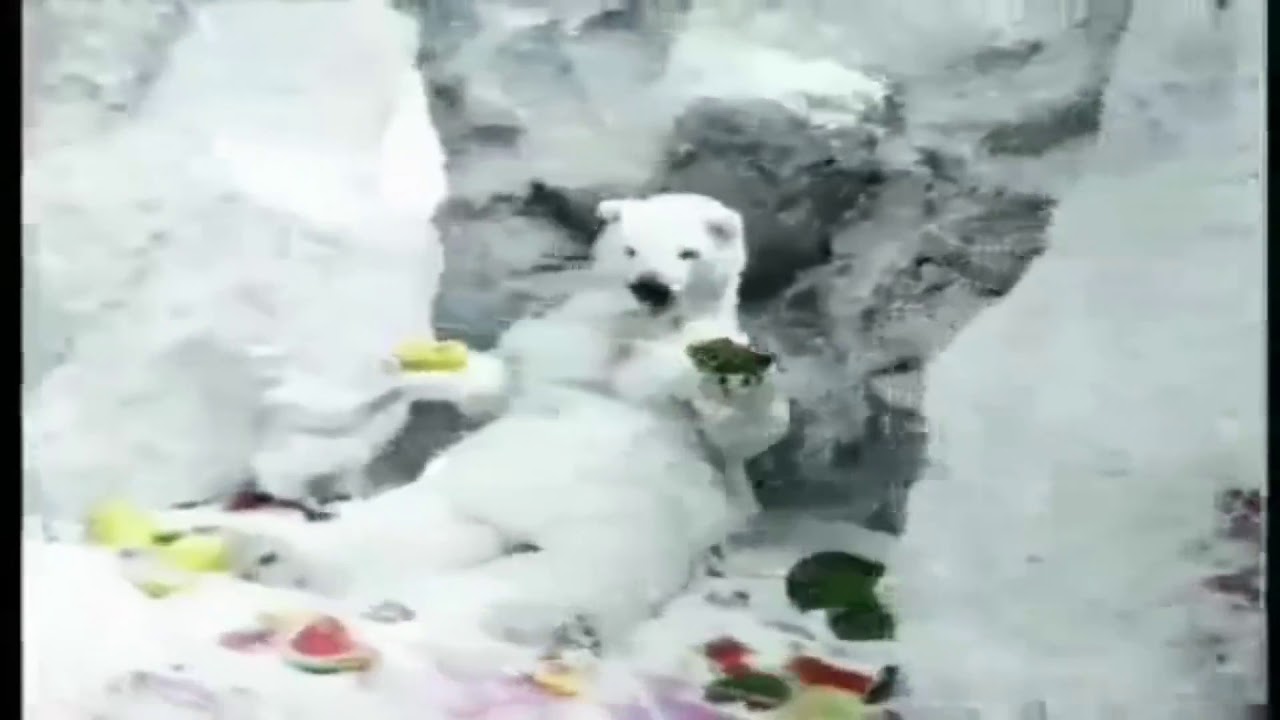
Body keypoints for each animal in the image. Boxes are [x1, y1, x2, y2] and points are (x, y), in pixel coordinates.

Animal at [205, 193, 791, 653]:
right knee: (403, 530)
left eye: (688, 251)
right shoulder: (559, 338)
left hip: (627, 523)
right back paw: (271, 554)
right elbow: (497, 389)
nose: (651, 287)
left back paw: (529, 620)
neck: (632, 333)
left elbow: (741, 435)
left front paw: (735, 383)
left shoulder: (681, 379)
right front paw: (426, 363)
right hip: (468, 492)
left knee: (574, 573)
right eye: (631, 248)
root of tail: (521, 526)